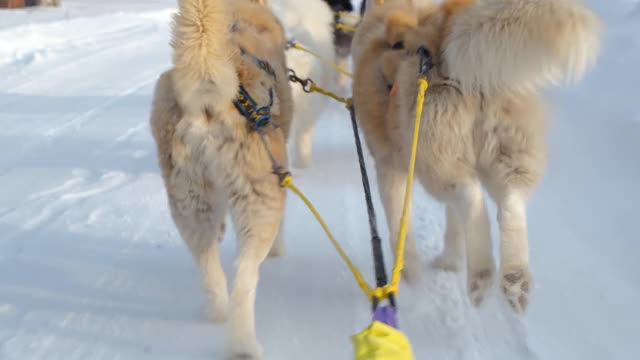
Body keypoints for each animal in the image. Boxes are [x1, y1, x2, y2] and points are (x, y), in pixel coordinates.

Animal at [149, 0, 292, 358]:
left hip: (190, 202)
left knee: (208, 264)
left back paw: (216, 312)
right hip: (259, 201)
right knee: (244, 274)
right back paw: (243, 344)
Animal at [352, 0, 604, 312]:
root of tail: (444, 32)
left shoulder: (389, 169)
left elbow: (401, 230)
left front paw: (410, 275)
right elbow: (454, 225)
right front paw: (449, 262)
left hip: (433, 162)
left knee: (471, 198)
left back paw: (482, 275)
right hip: (509, 154)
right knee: (510, 201)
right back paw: (514, 276)